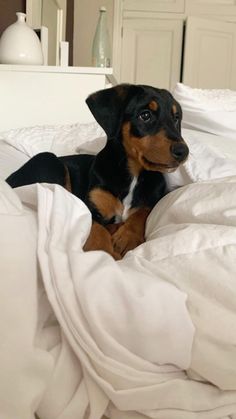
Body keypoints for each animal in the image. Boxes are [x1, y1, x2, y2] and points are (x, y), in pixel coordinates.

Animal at [6, 83, 189, 260]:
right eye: (145, 115)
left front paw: (128, 237)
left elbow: (142, 213)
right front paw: (104, 253)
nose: (183, 151)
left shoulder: (151, 201)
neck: (133, 174)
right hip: (48, 160)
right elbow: (96, 228)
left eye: (176, 117)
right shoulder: (91, 208)